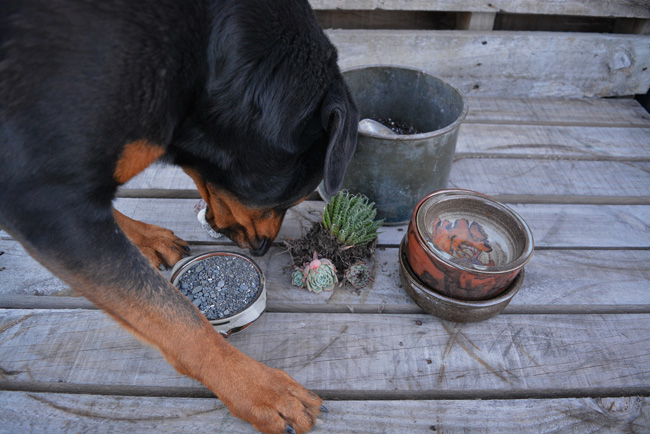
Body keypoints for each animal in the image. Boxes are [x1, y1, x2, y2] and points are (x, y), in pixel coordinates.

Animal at [0, 1, 356, 432]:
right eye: (288, 197)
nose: (261, 248)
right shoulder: (44, 198)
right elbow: (177, 317)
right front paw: (261, 389)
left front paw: (143, 237)